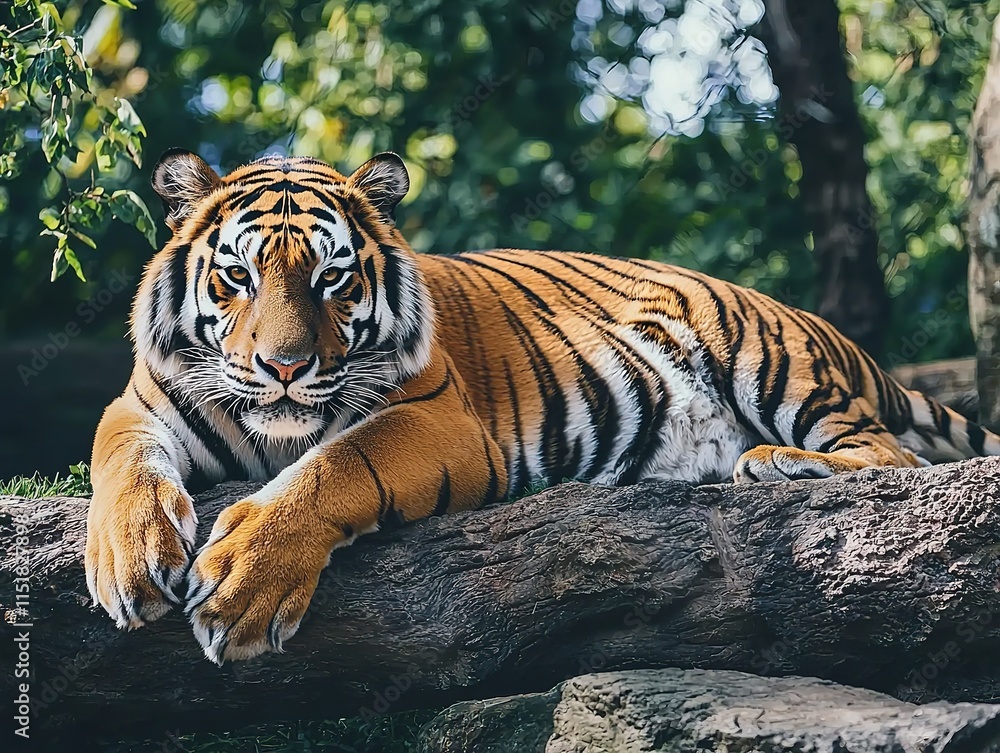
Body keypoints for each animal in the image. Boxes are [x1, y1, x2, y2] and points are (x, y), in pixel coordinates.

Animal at [86, 148, 1000, 665]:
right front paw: (128, 559)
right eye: (237, 276)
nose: (282, 367)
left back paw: (779, 463)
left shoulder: (439, 418)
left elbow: (336, 464)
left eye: (332, 278)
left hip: (768, 358)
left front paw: (243, 586)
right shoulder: (142, 401)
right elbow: (118, 460)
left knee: (891, 452)